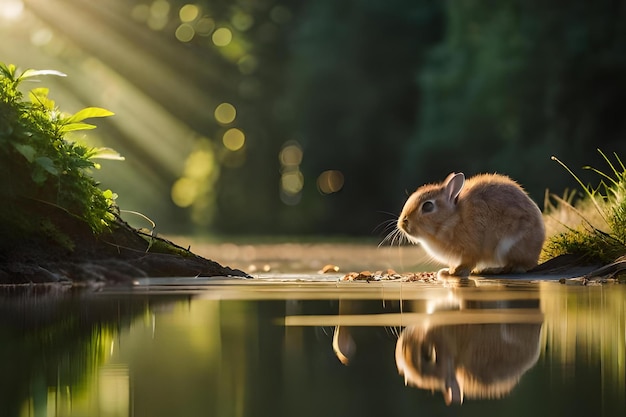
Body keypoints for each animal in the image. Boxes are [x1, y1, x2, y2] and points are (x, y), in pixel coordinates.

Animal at [398, 172, 544, 276]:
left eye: (428, 206)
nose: (402, 223)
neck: (451, 219)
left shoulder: (470, 250)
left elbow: (468, 262)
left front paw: (455, 272)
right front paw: (447, 271)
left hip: (508, 246)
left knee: (515, 266)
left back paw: (492, 269)